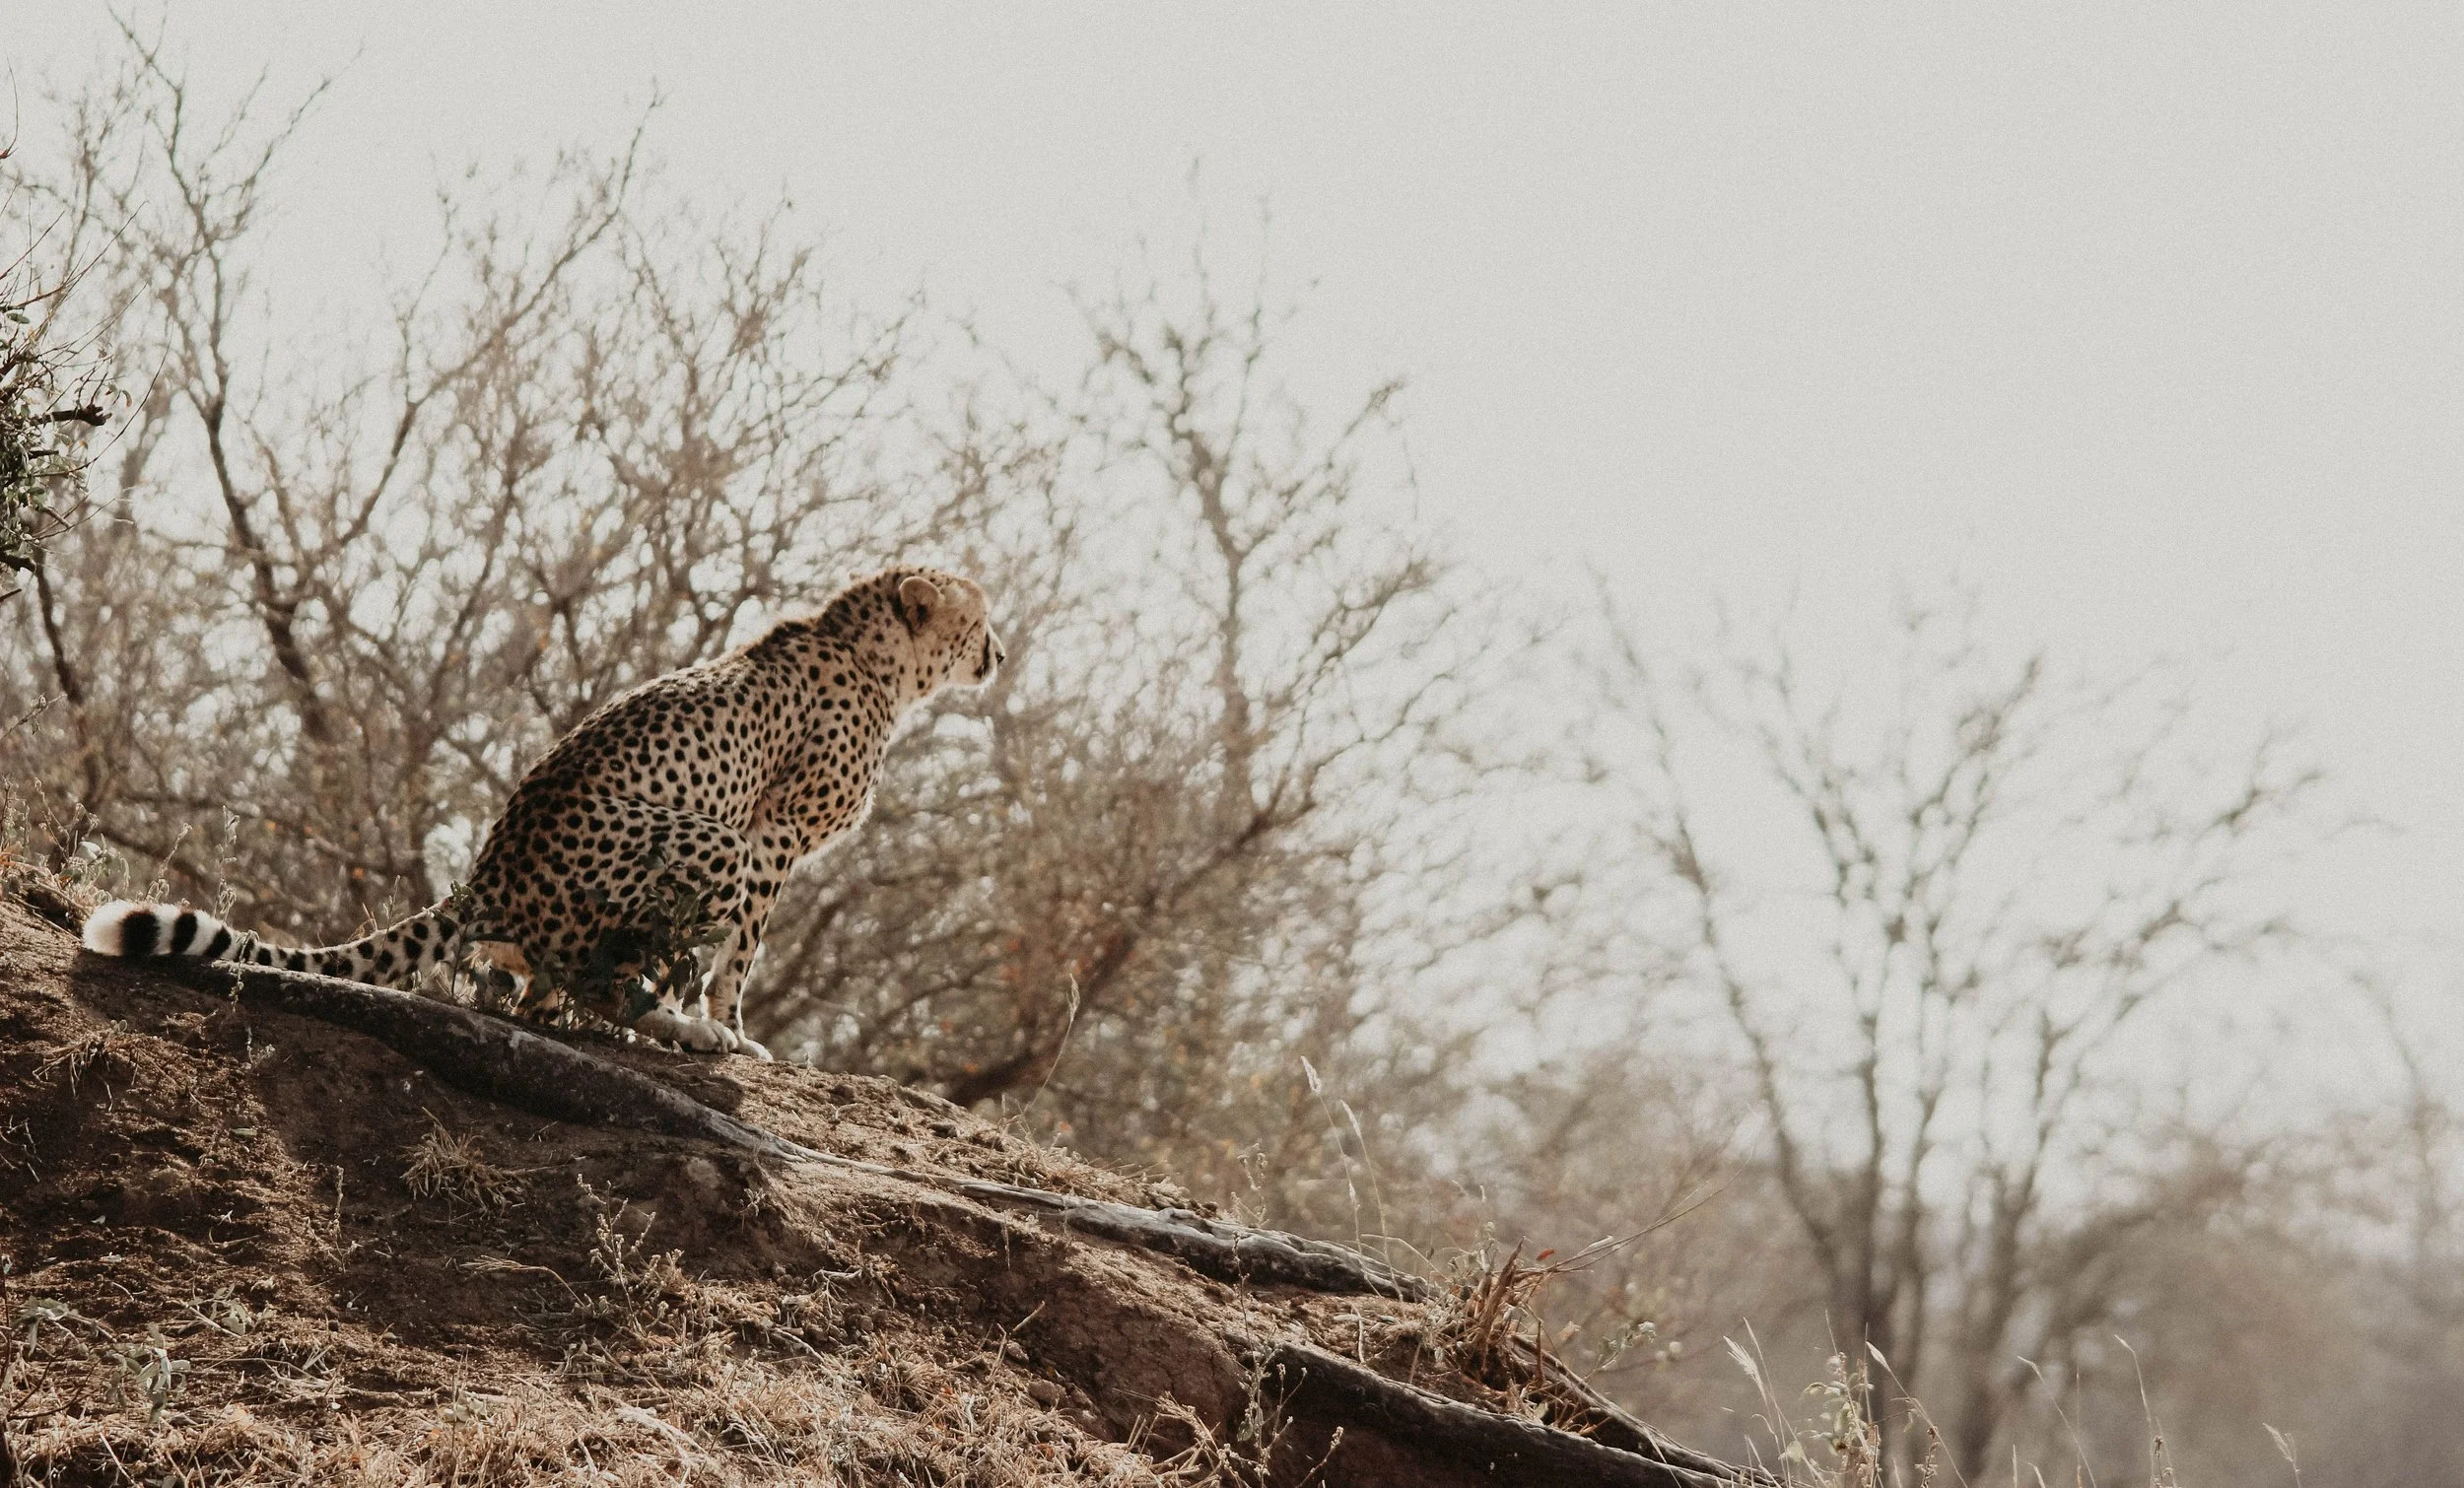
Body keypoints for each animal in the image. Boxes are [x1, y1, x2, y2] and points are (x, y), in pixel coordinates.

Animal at [80, 566, 1003, 1061]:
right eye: (981, 620)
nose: (1000, 651)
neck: (877, 659)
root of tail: (488, 871)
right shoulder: (770, 838)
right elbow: (741, 956)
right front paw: (733, 1031)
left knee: (535, 996)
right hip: (705, 848)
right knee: (585, 981)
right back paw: (672, 1025)